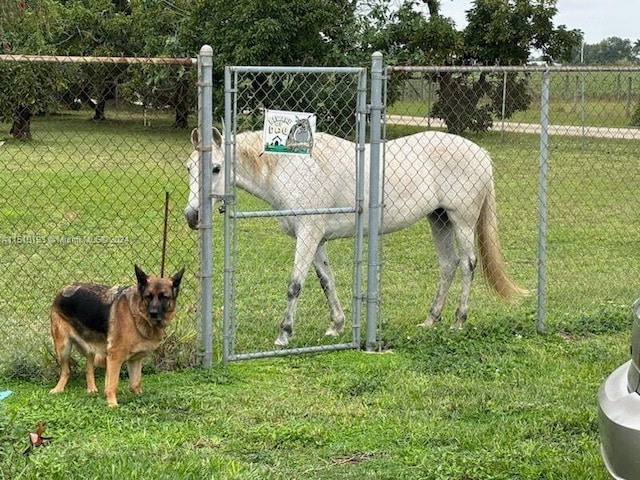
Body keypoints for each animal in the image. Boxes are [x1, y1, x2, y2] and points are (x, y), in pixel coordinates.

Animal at [50, 264, 184, 406]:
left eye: (164, 297)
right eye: (148, 296)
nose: (153, 313)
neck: (136, 313)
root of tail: (63, 289)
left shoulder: (135, 359)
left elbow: (135, 383)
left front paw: (139, 396)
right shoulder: (115, 357)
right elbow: (112, 384)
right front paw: (112, 404)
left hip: (90, 346)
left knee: (89, 368)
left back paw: (91, 388)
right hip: (63, 348)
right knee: (66, 371)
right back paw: (58, 389)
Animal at [184, 127, 524, 344]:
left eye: (215, 168)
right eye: (189, 167)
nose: (191, 216)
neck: (292, 170)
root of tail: (481, 153)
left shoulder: (308, 235)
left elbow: (295, 285)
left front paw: (284, 334)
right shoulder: (316, 239)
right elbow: (326, 281)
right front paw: (335, 326)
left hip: (461, 221)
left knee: (467, 264)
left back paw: (457, 321)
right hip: (437, 219)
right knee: (447, 264)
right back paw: (431, 320)